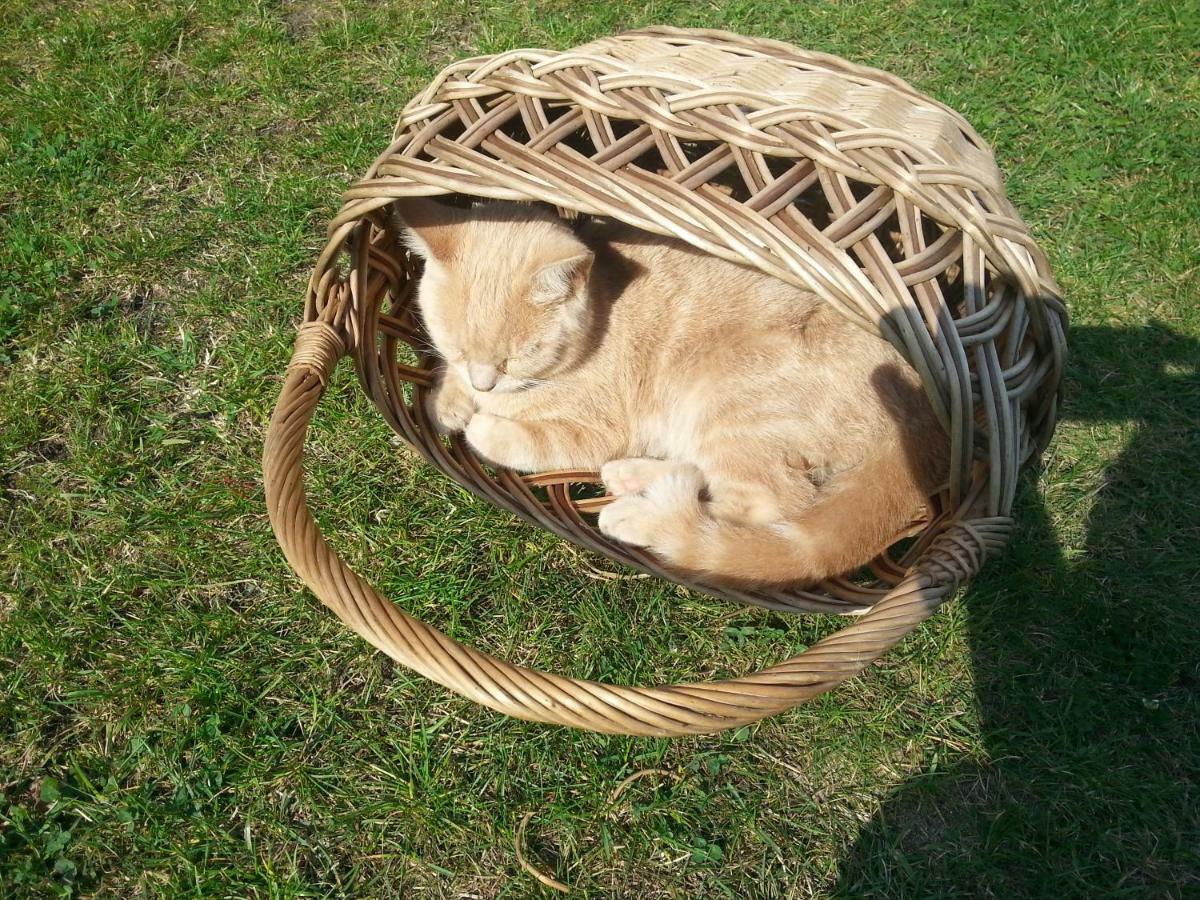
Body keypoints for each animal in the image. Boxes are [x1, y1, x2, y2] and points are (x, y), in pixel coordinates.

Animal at [393, 196, 945, 588]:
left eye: (518, 355)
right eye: (458, 346)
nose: (484, 379)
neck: (601, 314)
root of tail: (924, 421)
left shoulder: (595, 430)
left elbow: (521, 437)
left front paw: (480, 422)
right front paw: (448, 400)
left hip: (729, 402)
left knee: (766, 507)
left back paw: (638, 514)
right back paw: (633, 477)